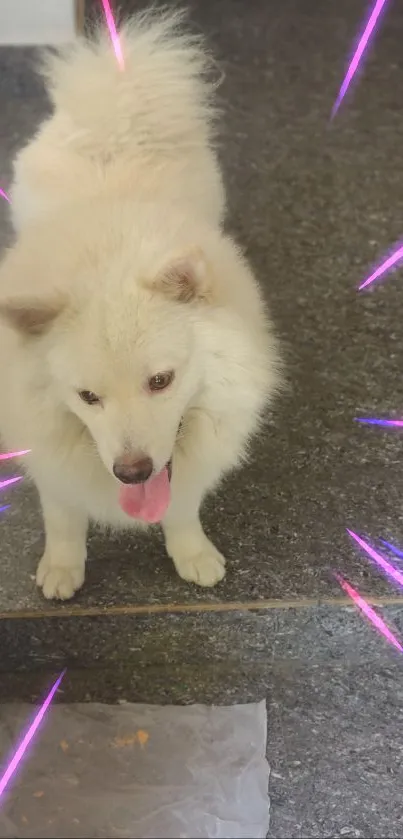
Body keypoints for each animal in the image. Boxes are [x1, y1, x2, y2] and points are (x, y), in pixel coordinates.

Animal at [0, 9, 282, 600]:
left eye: (161, 381)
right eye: (87, 397)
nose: (131, 471)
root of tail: (116, 118)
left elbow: (181, 508)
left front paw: (192, 555)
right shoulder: (53, 463)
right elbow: (63, 519)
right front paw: (61, 569)